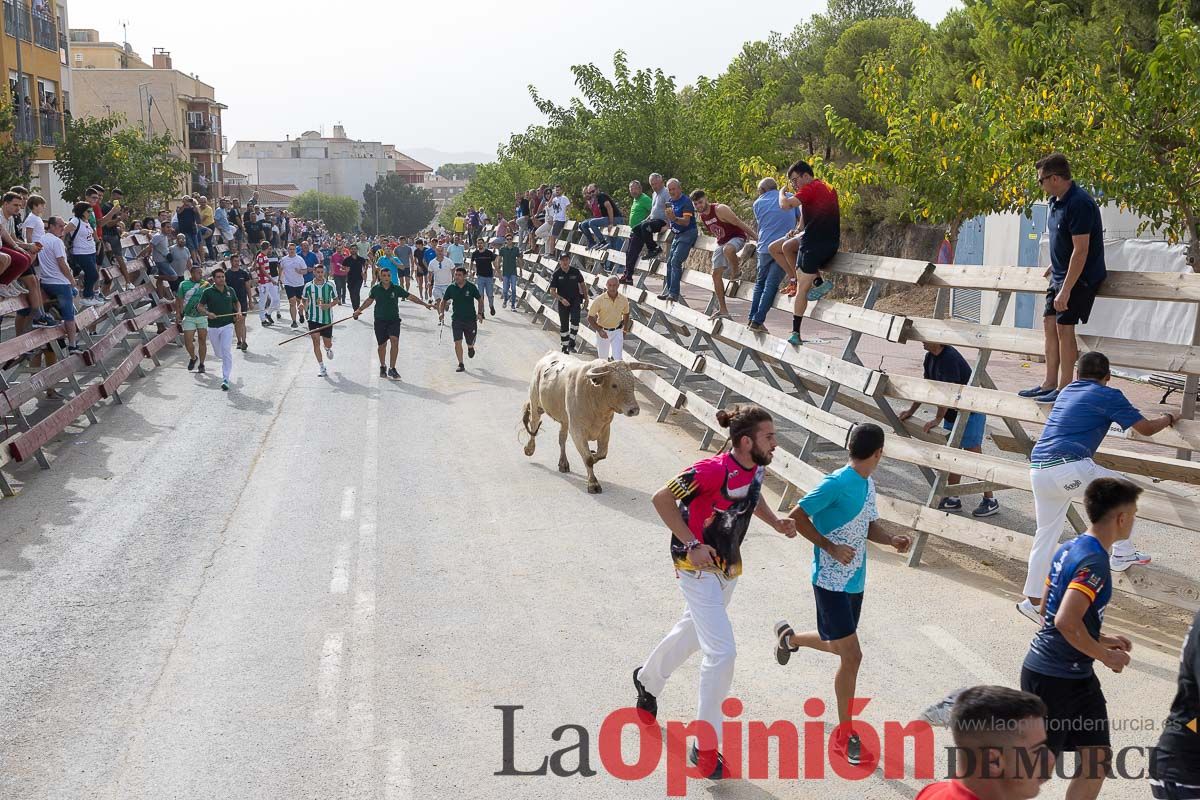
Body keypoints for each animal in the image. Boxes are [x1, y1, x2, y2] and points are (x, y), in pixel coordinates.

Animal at [518, 355, 662, 494]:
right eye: (614, 385)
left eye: (632, 384)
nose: (634, 410)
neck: (594, 396)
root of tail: (547, 356)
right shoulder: (577, 430)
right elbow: (588, 459)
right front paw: (593, 484)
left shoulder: (605, 428)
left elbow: (601, 454)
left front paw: (593, 454)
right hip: (535, 403)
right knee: (534, 425)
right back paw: (529, 449)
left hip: (565, 421)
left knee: (561, 439)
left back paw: (563, 463)